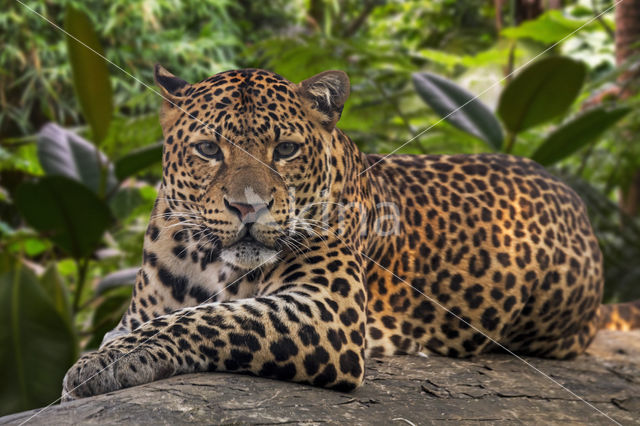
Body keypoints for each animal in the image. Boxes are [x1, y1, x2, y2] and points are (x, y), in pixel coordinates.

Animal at [62, 65, 640, 400]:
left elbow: (209, 318)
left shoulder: (327, 309)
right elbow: (168, 317)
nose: (248, 207)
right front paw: (107, 352)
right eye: (208, 149)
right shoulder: (142, 308)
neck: (208, 260)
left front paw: (106, 362)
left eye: (286, 149)